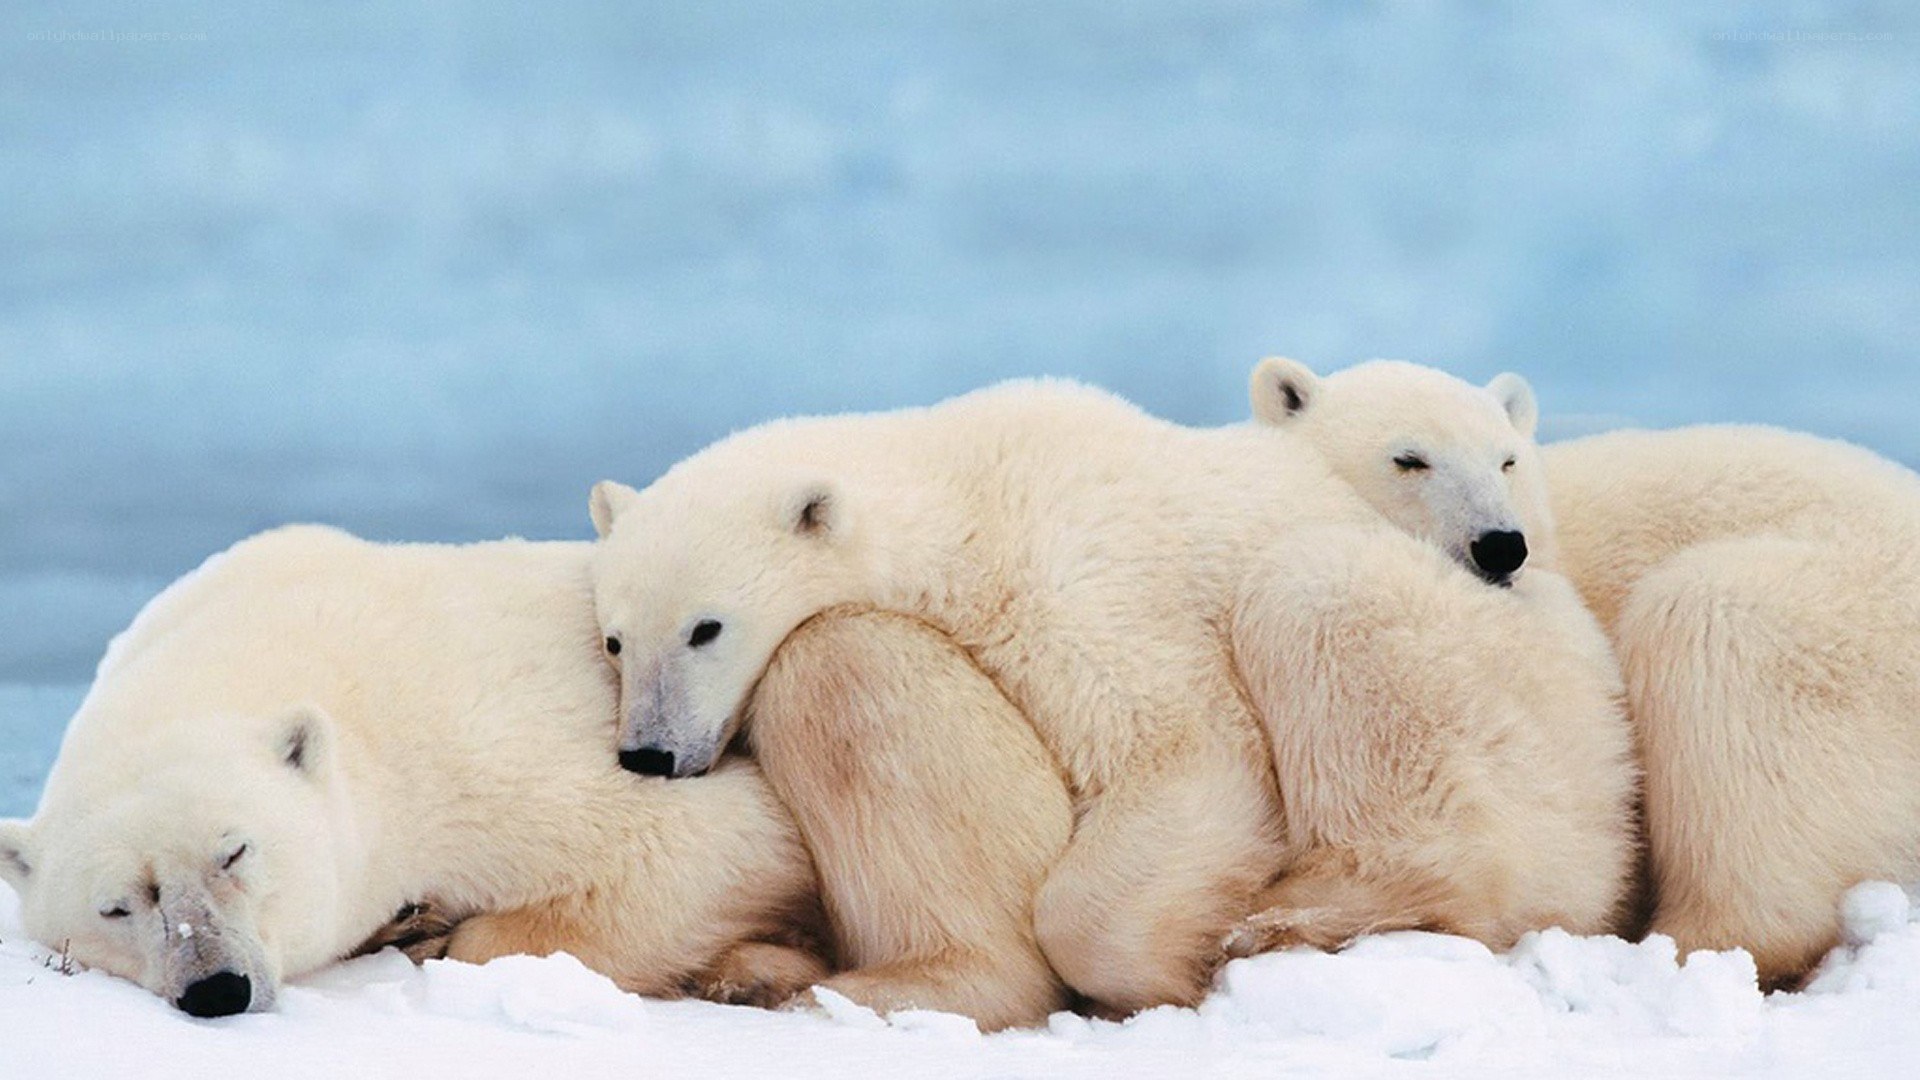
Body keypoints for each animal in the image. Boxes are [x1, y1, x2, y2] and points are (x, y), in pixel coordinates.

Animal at [0, 526, 826, 1016]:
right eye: (116, 907)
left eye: (234, 852)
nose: (216, 987)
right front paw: (411, 922)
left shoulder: (483, 748)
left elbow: (719, 838)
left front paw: (438, 932)